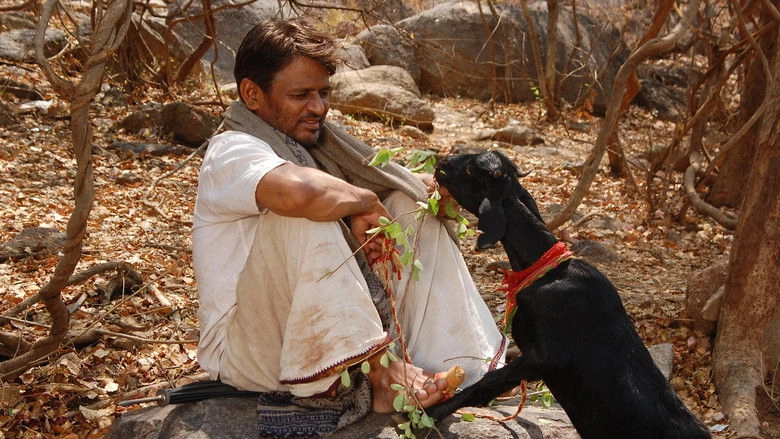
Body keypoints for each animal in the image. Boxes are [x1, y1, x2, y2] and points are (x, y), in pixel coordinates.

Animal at [428, 150, 711, 439]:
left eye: (472, 171)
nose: (442, 163)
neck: (548, 270)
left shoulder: (546, 356)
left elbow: (490, 381)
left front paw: (432, 410)